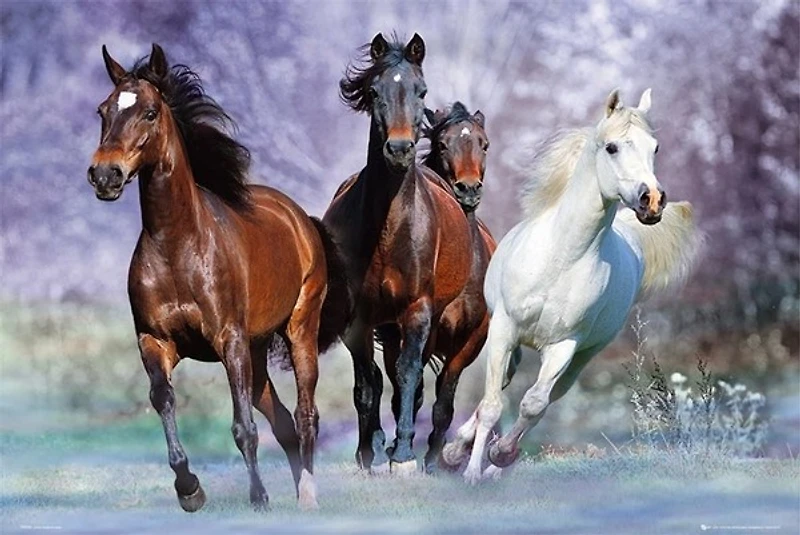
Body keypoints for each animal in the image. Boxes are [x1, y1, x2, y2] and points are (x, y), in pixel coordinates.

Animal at [87, 44, 351, 510]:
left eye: (150, 112)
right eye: (103, 110)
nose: (105, 175)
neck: (178, 247)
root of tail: (301, 219)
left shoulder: (229, 342)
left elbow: (243, 426)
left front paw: (259, 497)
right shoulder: (156, 341)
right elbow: (163, 398)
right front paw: (189, 489)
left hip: (298, 331)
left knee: (305, 415)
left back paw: (307, 496)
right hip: (257, 354)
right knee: (283, 421)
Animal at [323, 33, 473, 474]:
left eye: (421, 91)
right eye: (374, 92)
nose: (401, 149)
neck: (388, 229)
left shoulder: (417, 309)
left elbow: (407, 374)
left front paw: (404, 455)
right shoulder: (358, 318)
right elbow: (365, 384)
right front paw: (367, 451)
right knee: (377, 377)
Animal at [442, 89, 701, 484]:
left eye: (655, 148)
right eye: (611, 147)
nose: (652, 201)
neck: (561, 258)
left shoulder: (565, 345)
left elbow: (534, 404)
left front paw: (499, 456)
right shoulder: (503, 329)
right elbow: (491, 405)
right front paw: (469, 470)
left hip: (584, 356)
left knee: (548, 396)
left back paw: (495, 463)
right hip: (511, 342)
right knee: (499, 388)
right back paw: (458, 452)